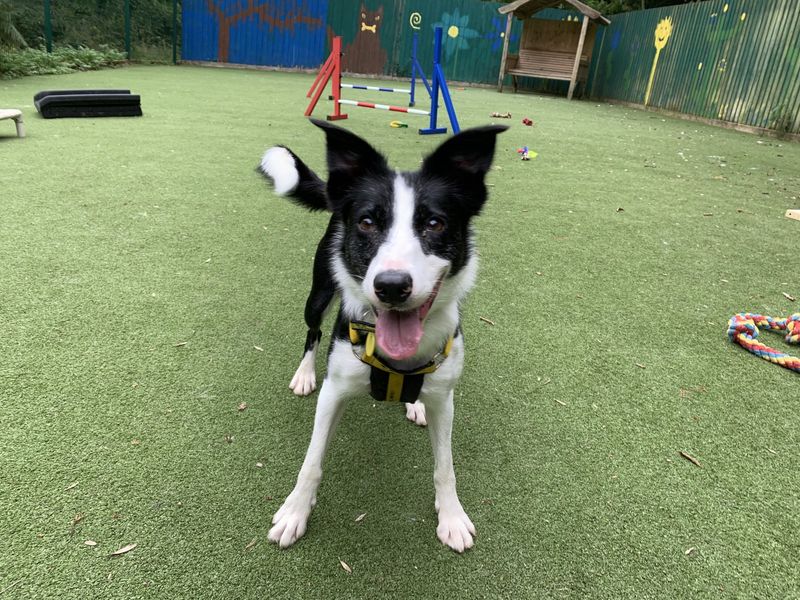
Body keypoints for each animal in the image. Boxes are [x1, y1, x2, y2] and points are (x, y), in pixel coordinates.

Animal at [260, 118, 504, 552]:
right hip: (319, 293)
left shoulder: (446, 399)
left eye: (435, 223)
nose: (392, 286)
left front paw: (452, 517)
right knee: (312, 331)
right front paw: (294, 512)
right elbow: (312, 461)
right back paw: (304, 373)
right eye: (367, 223)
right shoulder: (334, 391)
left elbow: (445, 466)